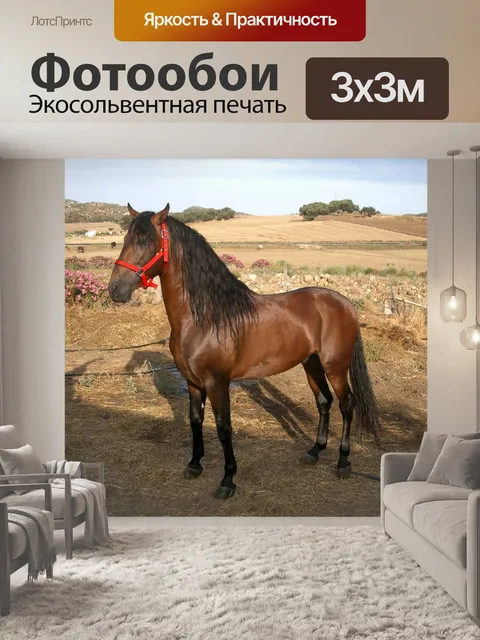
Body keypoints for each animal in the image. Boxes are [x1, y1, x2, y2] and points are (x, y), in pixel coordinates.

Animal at [108, 203, 381, 500]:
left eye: (144, 241)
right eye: (125, 239)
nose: (114, 289)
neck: (206, 317)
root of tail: (345, 303)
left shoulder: (217, 383)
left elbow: (223, 428)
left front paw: (227, 480)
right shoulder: (193, 383)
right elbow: (195, 420)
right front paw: (194, 465)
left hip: (335, 367)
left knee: (346, 404)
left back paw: (343, 462)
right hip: (311, 364)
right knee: (324, 402)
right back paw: (314, 451)